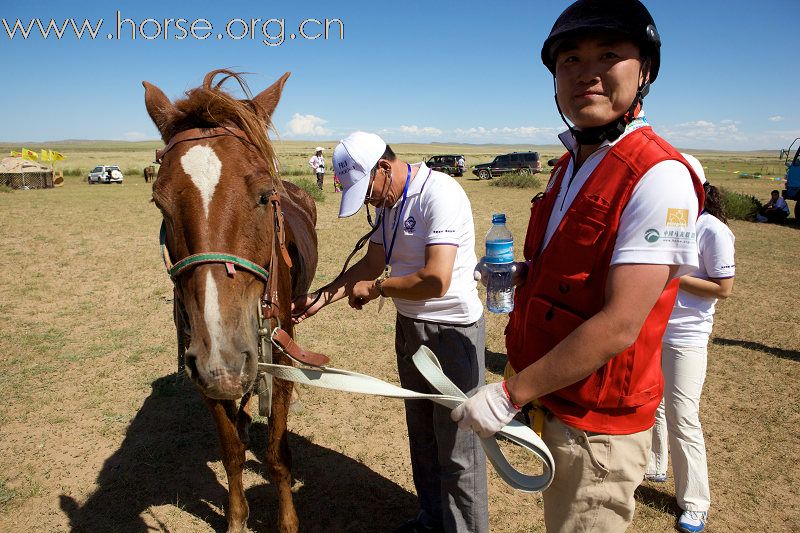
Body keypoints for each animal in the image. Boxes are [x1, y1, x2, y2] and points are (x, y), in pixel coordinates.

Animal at [144, 70, 318, 532]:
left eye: (263, 194)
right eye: (160, 203)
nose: (223, 361)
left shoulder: (280, 354)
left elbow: (276, 454)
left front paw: (288, 522)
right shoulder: (201, 368)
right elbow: (232, 453)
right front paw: (237, 518)